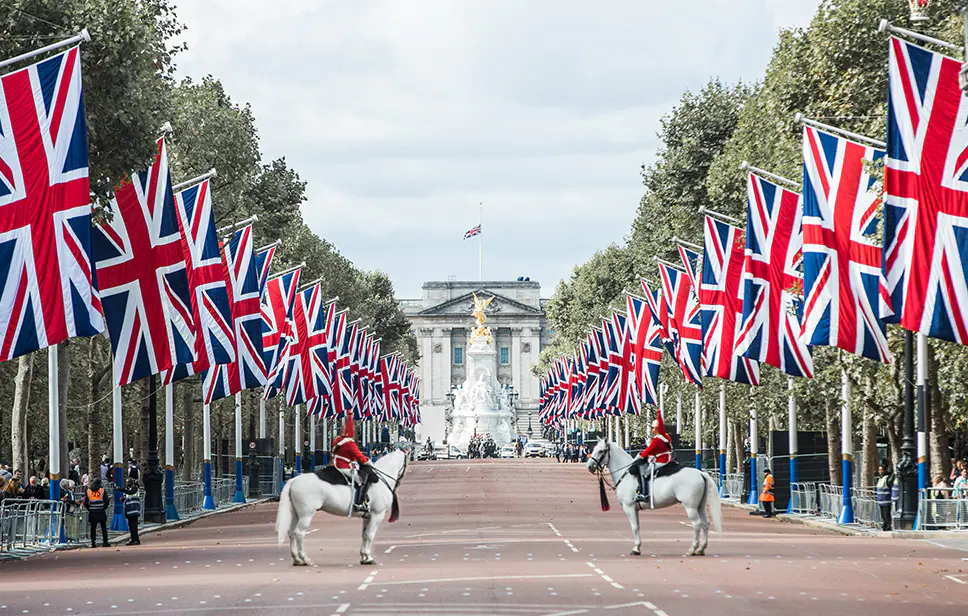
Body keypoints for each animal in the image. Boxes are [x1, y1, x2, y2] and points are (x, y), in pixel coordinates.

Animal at [274, 446, 406, 564]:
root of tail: (294, 480)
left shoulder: (367, 516)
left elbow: (364, 535)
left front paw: (363, 557)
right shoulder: (377, 515)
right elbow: (370, 535)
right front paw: (369, 558)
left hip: (296, 515)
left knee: (291, 533)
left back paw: (297, 559)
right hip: (306, 515)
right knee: (299, 533)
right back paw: (305, 559)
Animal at [588, 440, 724, 556]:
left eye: (601, 451)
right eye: (594, 448)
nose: (589, 466)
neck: (626, 473)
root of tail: (701, 473)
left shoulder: (629, 507)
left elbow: (634, 527)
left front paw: (636, 548)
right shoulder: (635, 509)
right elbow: (637, 526)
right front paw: (638, 547)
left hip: (690, 507)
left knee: (696, 524)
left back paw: (692, 549)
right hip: (700, 506)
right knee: (705, 523)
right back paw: (701, 549)